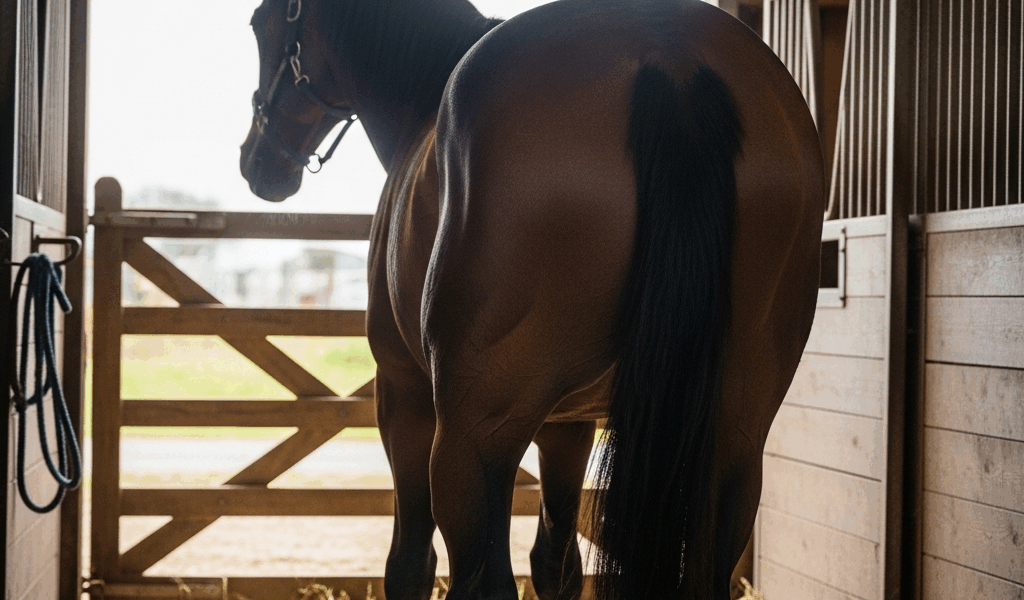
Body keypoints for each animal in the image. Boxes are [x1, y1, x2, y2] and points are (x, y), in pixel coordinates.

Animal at [239, 1, 825, 598]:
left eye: (263, 26)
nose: (257, 162)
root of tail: (670, 60)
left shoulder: (403, 394)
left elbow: (410, 563)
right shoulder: (569, 423)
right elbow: (556, 564)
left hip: (473, 438)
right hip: (732, 440)